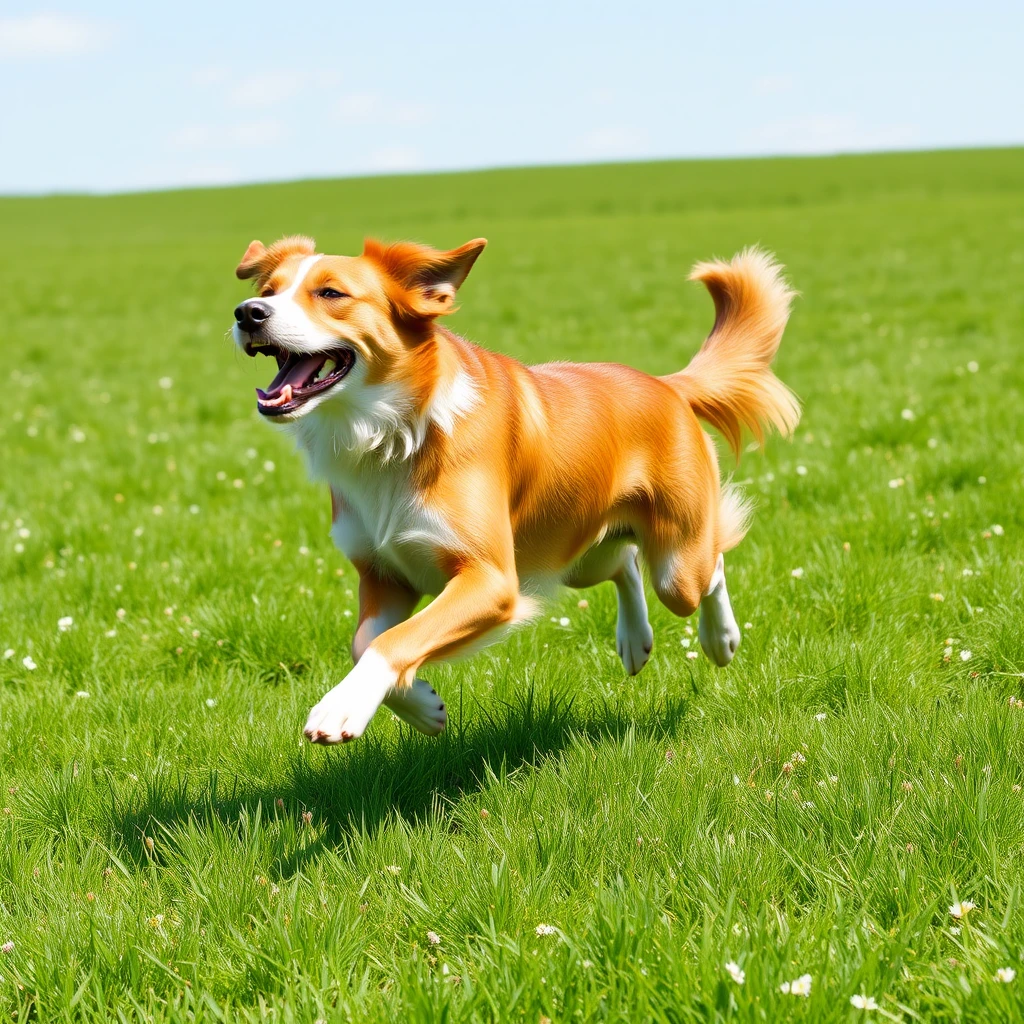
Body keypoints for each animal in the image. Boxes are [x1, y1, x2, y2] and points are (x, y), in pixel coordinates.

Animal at [234, 232, 798, 745]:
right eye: (268, 288)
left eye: (331, 293)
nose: (247, 313)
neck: (391, 434)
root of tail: (668, 385)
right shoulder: (384, 573)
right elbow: (365, 641)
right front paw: (423, 707)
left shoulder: (490, 580)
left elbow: (394, 640)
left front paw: (342, 707)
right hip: (575, 550)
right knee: (624, 562)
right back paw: (634, 640)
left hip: (676, 564)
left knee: (709, 563)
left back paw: (720, 638)